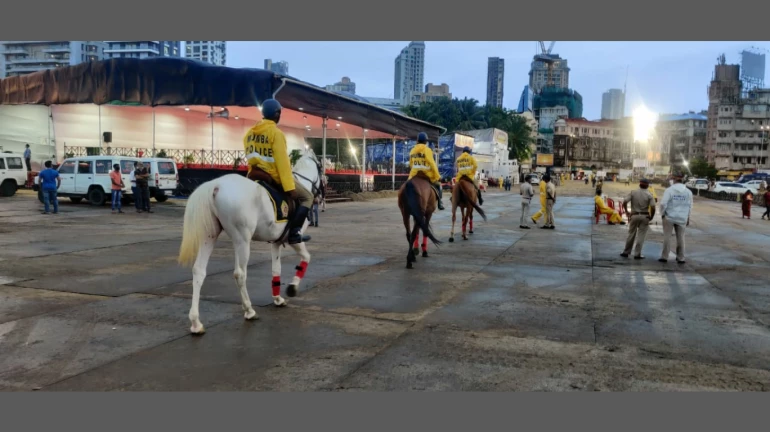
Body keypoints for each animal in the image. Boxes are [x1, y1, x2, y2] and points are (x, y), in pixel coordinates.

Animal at [177, 149, 322, 335]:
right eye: (320, 167)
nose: (321, 192)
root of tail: (216, 185)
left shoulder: (276, 241)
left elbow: (276, 269)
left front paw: (277, 298)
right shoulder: (294, 239)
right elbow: (306, 258)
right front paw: (292, 287)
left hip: (211, 236)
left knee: (199, 270)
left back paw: (196, 322)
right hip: (242, 239)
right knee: (240, 273)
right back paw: (249, 310)